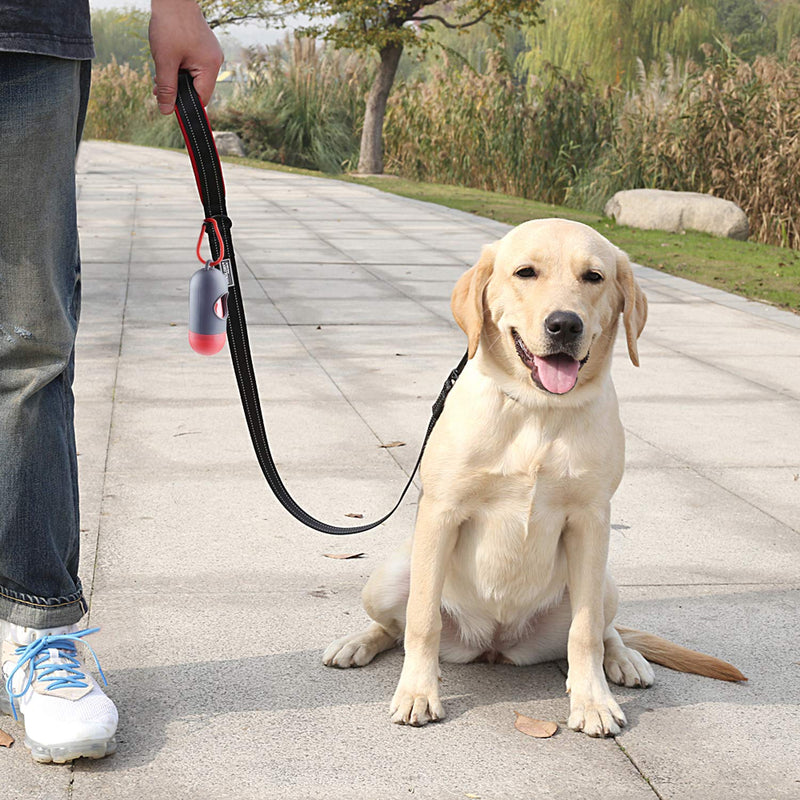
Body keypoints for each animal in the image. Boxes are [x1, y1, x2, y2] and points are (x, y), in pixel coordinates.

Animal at [324, 216, 744, 736]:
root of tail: (494, 645)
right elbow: (421, 621)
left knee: (606, 630)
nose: (565, 324)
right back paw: (357, 643)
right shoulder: (441, 513)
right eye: (525, 272)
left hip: (604, 583)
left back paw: (624, 660)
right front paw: (418, 692)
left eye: (594, 277)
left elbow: (585, 633)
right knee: (395, 626)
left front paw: (592, 701)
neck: (539, 412)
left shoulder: (591, 522)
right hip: (389, 578)